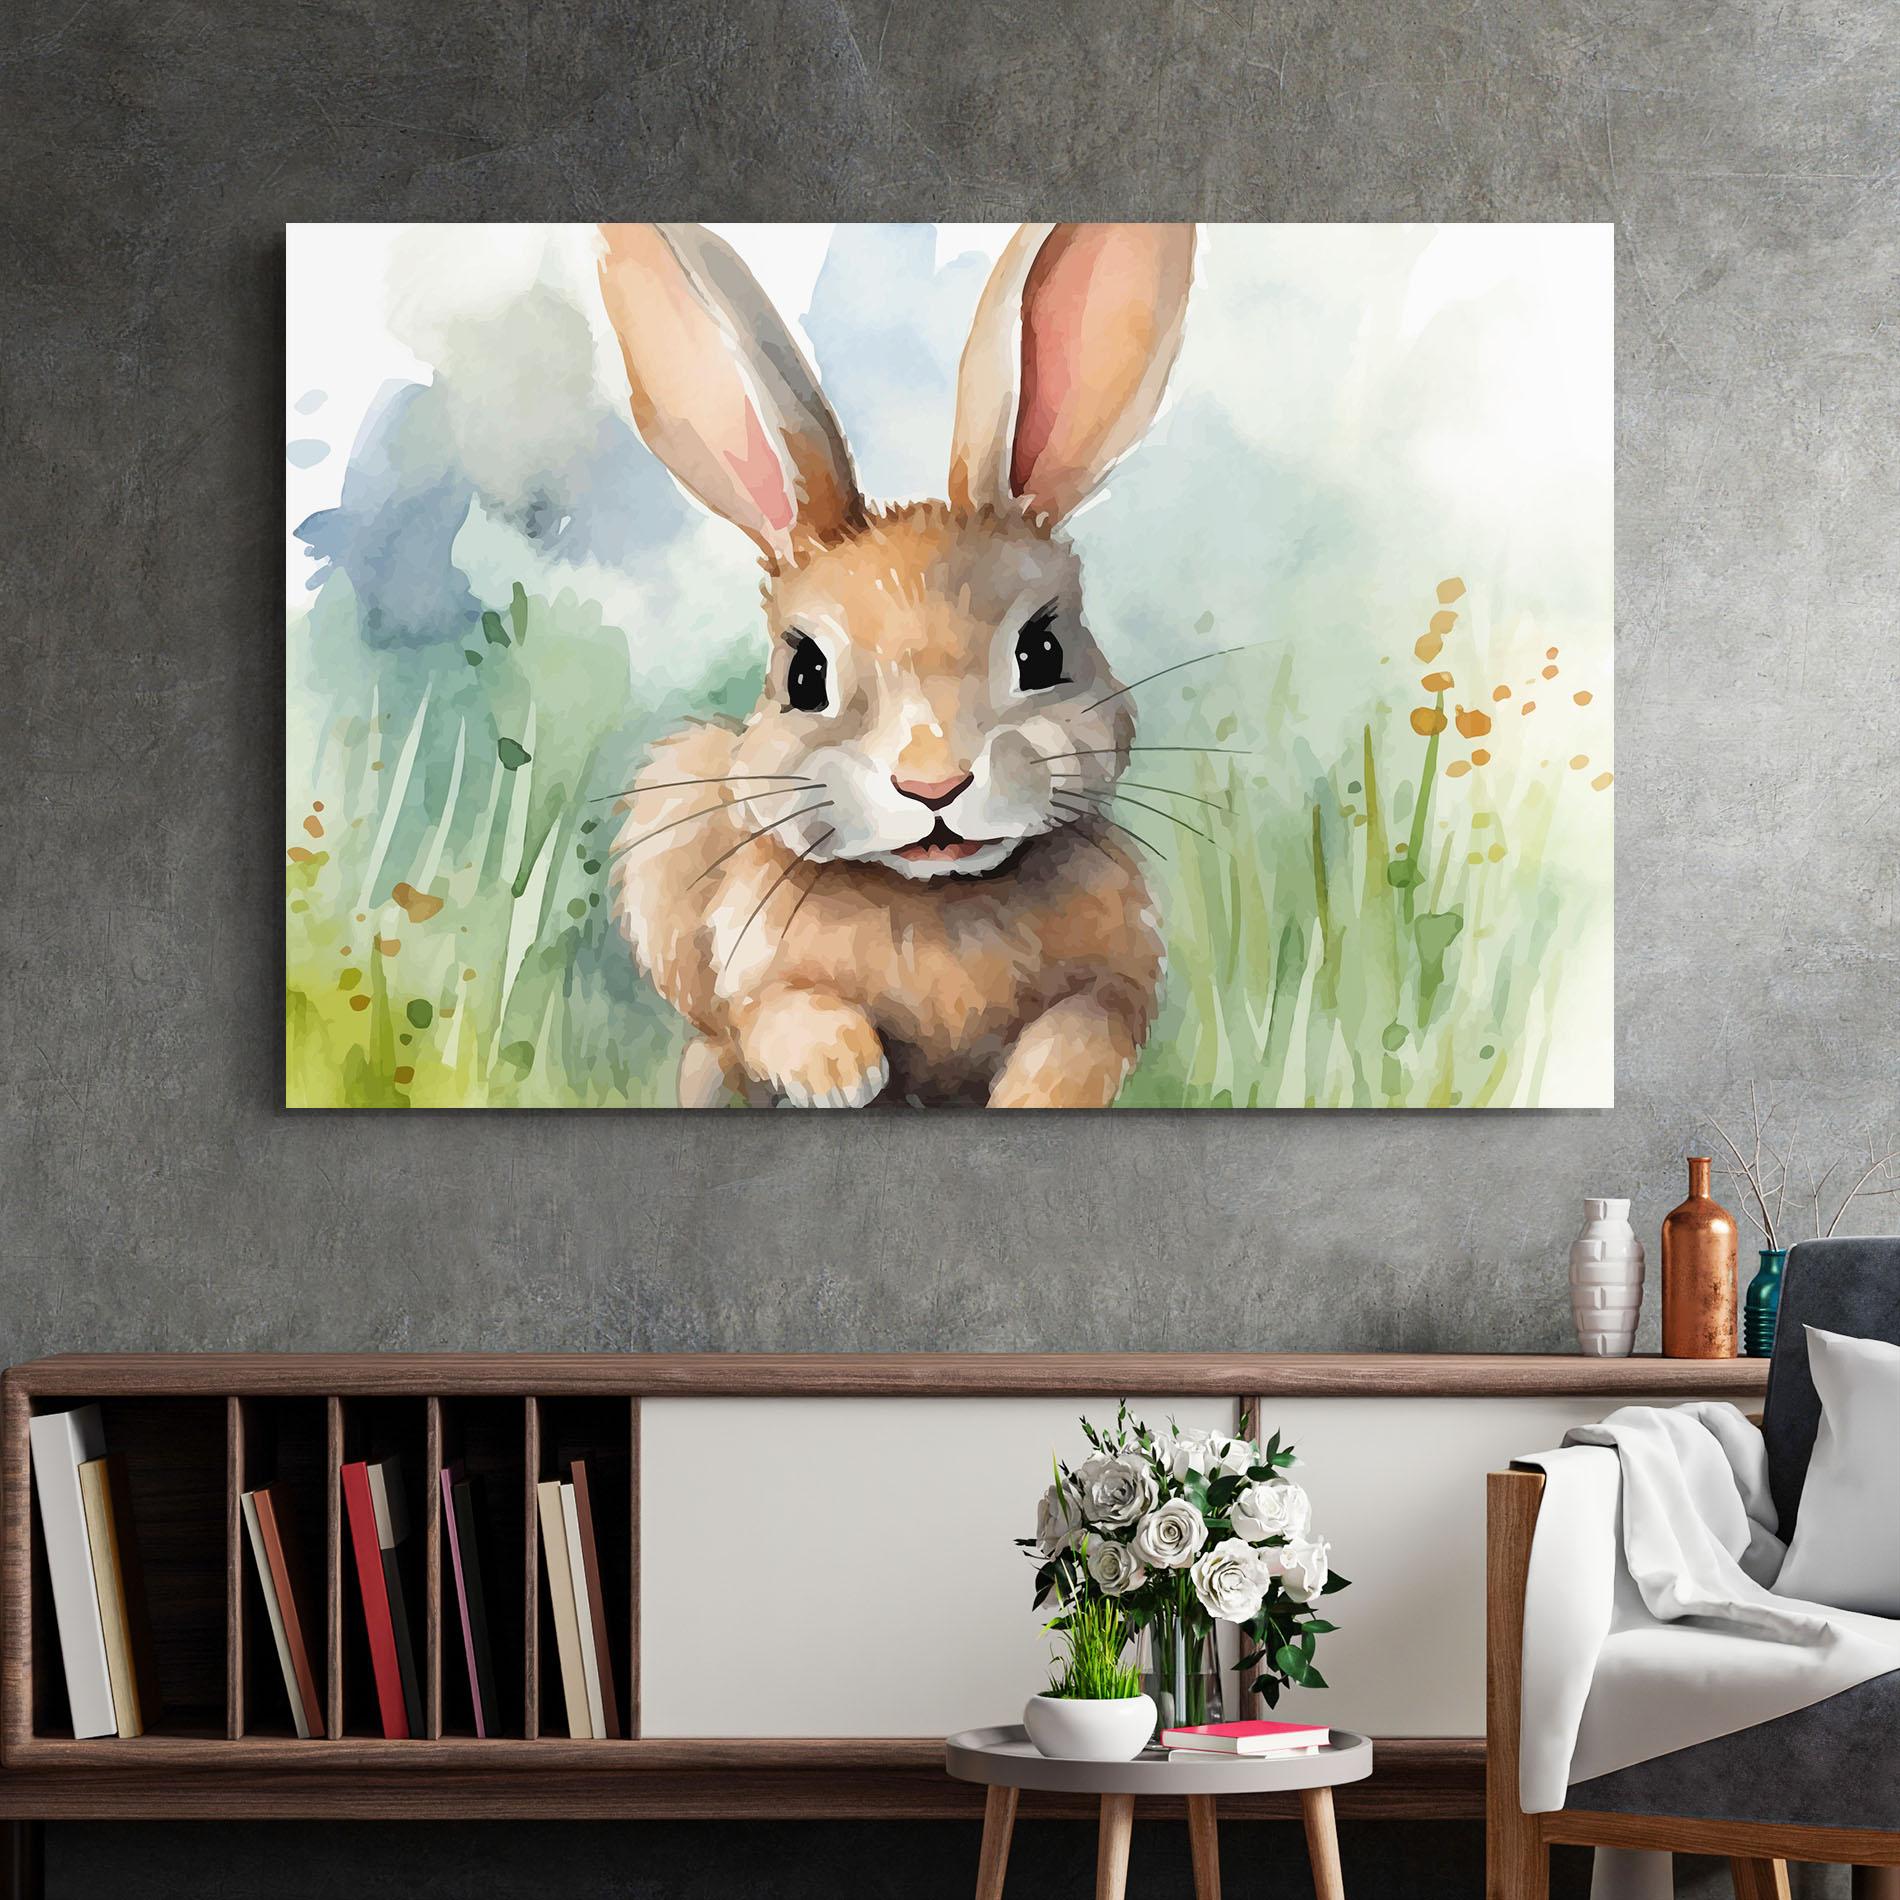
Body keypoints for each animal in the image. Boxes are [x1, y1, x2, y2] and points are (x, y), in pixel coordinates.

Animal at [595, 222, 1195, 1108]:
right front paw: (842, 1069)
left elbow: (1088, 1030)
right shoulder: (751, 979)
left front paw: (1033, 1094)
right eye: (804, 675)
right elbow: (776, 1011)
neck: (936, 894)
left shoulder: (1118, 984)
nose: (933, 784)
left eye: (1042, 652)